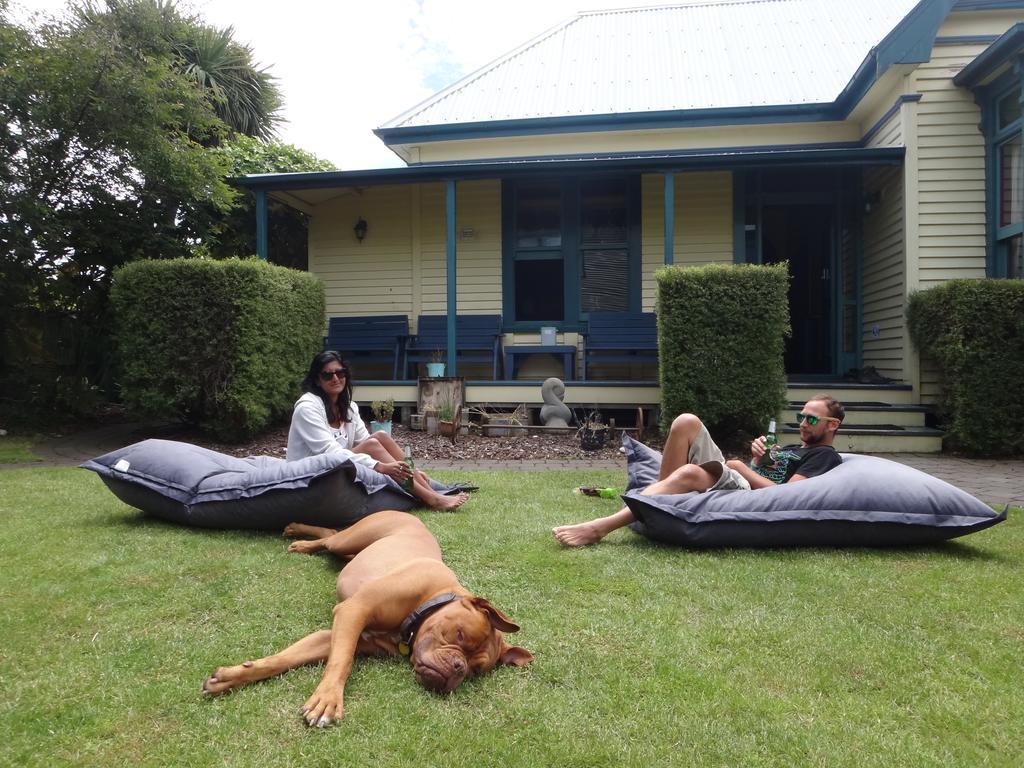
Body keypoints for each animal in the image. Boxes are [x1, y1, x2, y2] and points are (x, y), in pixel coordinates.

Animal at [201, 512, 536, 729]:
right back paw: (300, 536)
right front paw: (327, 700)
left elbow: (287, 658)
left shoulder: (333, 634)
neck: (430, 600)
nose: (458, 667)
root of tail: (410, 514)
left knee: (331, 537)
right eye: (459, 635)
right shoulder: (352, 613)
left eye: (475, 672)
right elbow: (342, 661)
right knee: (331, 535)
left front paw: (232, 677)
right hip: (352, 538)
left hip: (350, 553)